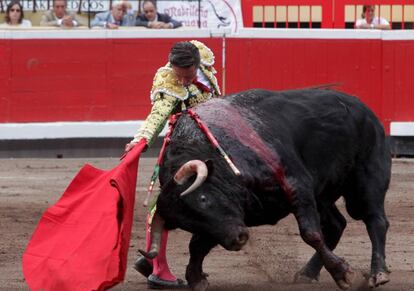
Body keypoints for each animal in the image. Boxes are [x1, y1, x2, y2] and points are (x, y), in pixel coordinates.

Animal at [149, 89, 392, 291]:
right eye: (188, 224)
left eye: (203, 199)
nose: (238, 239)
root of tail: (360, 105)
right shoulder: (231, 219)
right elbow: (197, 244)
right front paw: (196, 277)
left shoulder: (298, 185)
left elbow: (311, 234)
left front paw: (344, 274)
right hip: (323, 196)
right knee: (336, 225)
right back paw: (307, 273)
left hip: (367, 177)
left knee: (375, 219)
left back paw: (378, 274)